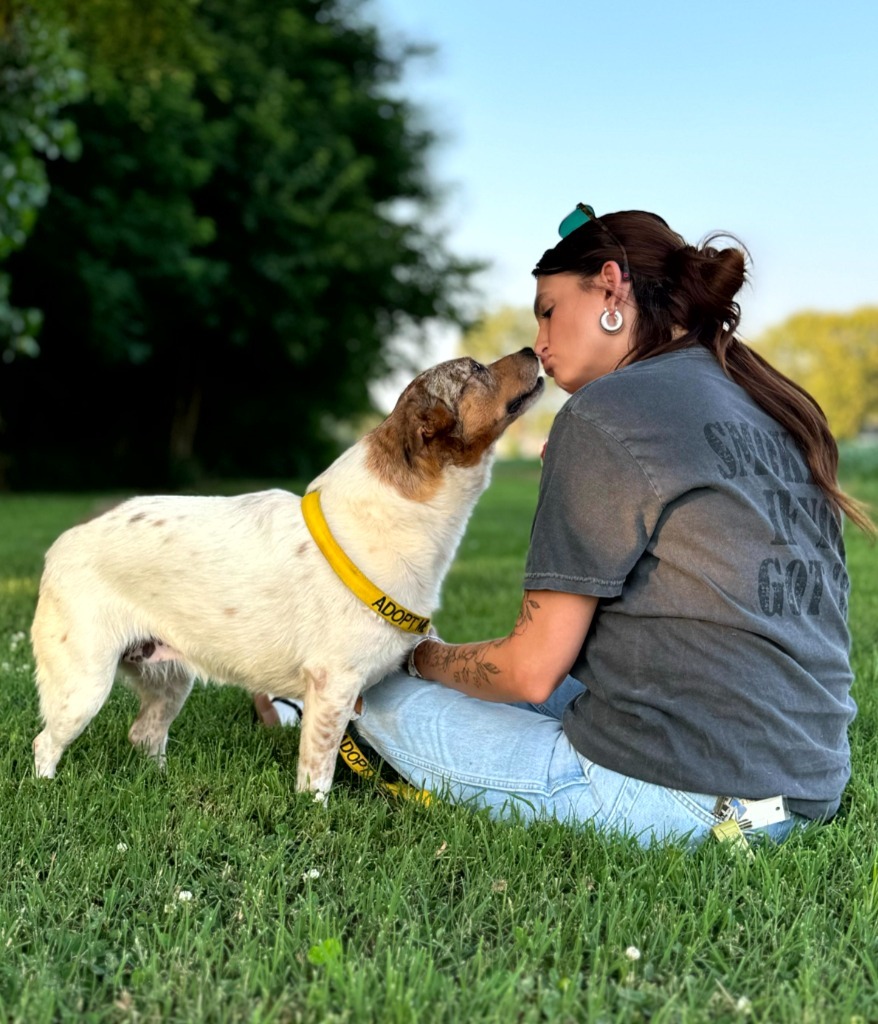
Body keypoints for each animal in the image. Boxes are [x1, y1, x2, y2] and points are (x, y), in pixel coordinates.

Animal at [29, 352, 540, 798]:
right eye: (474, 368)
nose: (532, 349)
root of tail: (62, 544)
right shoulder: (333, 687)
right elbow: (317, 777)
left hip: (169, 678)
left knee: (145, 734)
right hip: (84, 685)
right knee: (44, 743)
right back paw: (45, 790)